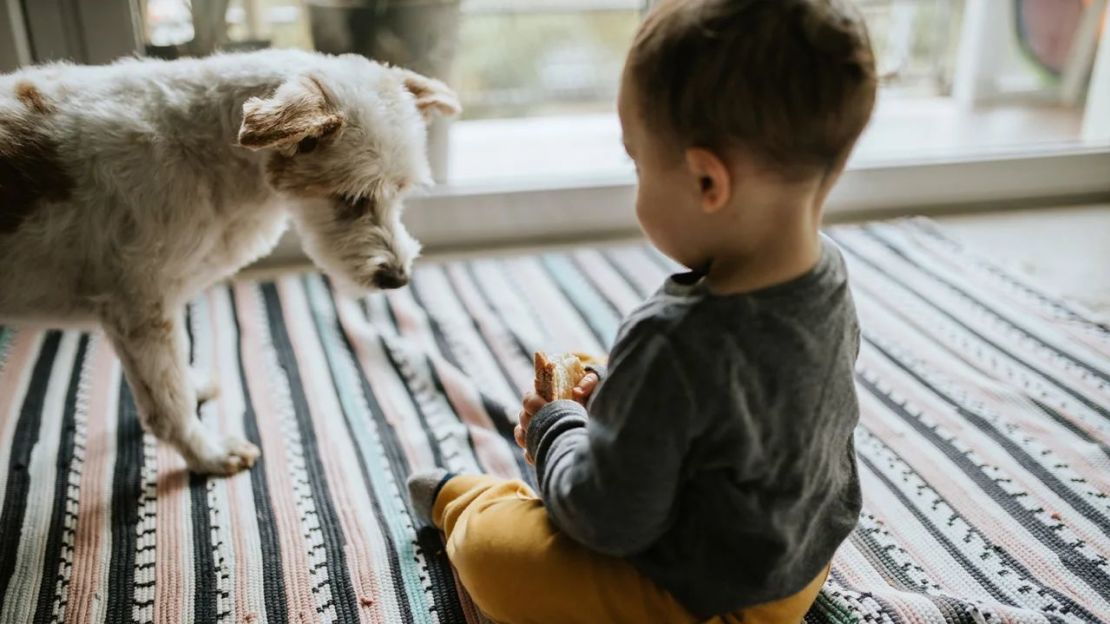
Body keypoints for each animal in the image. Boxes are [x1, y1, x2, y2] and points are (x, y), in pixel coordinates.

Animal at [0, 48, 459, 472]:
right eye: (352, 198)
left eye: (401, 193)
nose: (398, 279)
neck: (200, 149)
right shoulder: (139, 310)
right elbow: (169, 403)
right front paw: (208, 454)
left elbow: (172, 379)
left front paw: (193, 391)